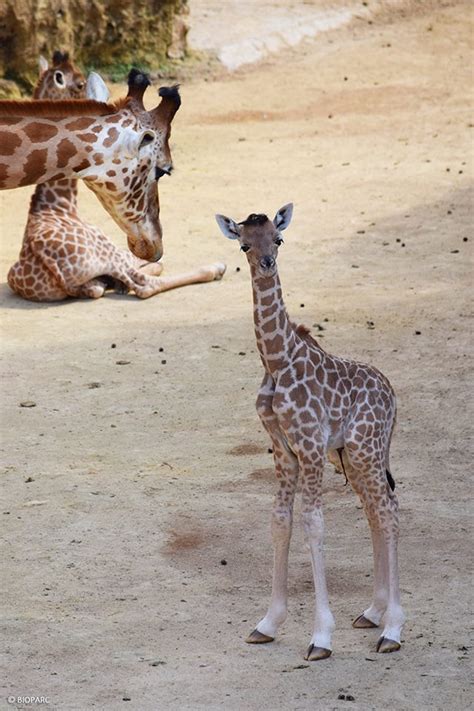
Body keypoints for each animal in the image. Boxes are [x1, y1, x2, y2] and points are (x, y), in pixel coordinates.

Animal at [217, 206, 406, 660]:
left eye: (278, 239)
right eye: (244, 245)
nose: (267, 264)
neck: (277, 360)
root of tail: (393, 395)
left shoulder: (310, 444)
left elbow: (314, 524)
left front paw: (321, 636)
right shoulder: (283, 447)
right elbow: (280, 522)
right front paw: (268, 623)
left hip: (366, 448)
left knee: (389, 512)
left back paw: (392, 629)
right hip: (352, 456)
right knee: (376, 512)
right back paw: (372, 613)